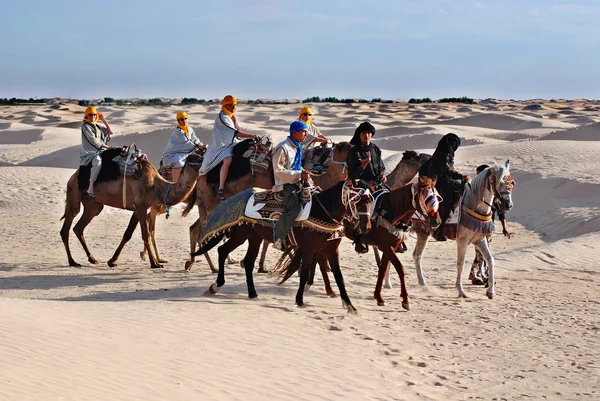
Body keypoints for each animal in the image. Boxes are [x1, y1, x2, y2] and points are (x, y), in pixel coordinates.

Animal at [60, 151, 204, 268]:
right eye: (197, 158)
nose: (206, 163)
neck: (156, 186)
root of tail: (73, 176)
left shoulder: (139, 208)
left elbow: (128, 234)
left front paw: (112, 261)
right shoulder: (141, 205)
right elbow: (145, 234)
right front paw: (154, 263)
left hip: (93, 204)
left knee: (79, 227)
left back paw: (92, 259)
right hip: (74, 191)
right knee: (67, 226)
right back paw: (72, 261)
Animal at [191, 180, 376, 310]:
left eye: (369, 201)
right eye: (358, 201)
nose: (366, 227)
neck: (322, 212)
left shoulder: (331, 251)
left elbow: (339, 277)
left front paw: (350, 306)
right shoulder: (309, 249)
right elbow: (305, 272)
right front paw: (300, 300)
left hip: (254, 238)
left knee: (248, 262)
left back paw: (252, 293)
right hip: (240, 235)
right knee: (222, 251)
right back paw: (215, 286)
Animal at [276, 175, 440, 310]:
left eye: (438, 198)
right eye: (426, 197)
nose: (437, 221)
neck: (390, 211)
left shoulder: (390, 247)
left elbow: (382, 270)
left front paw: (378, 297)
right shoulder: (385, 246)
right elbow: (399, 268)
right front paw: (405, 300)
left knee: (320, 259)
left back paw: (328, 290)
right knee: (319, 260)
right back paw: (312, 287)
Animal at [412, 159, 516, 296]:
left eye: (511, 183)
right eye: (498, 182)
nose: (508, 205)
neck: (473, 204)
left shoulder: (480, 239)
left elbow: (490, 259)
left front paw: (490, 291)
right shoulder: (462, 240)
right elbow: (460, 264)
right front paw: (461, 291)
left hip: (422, 232)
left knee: (416, 255)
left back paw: (423, 284)